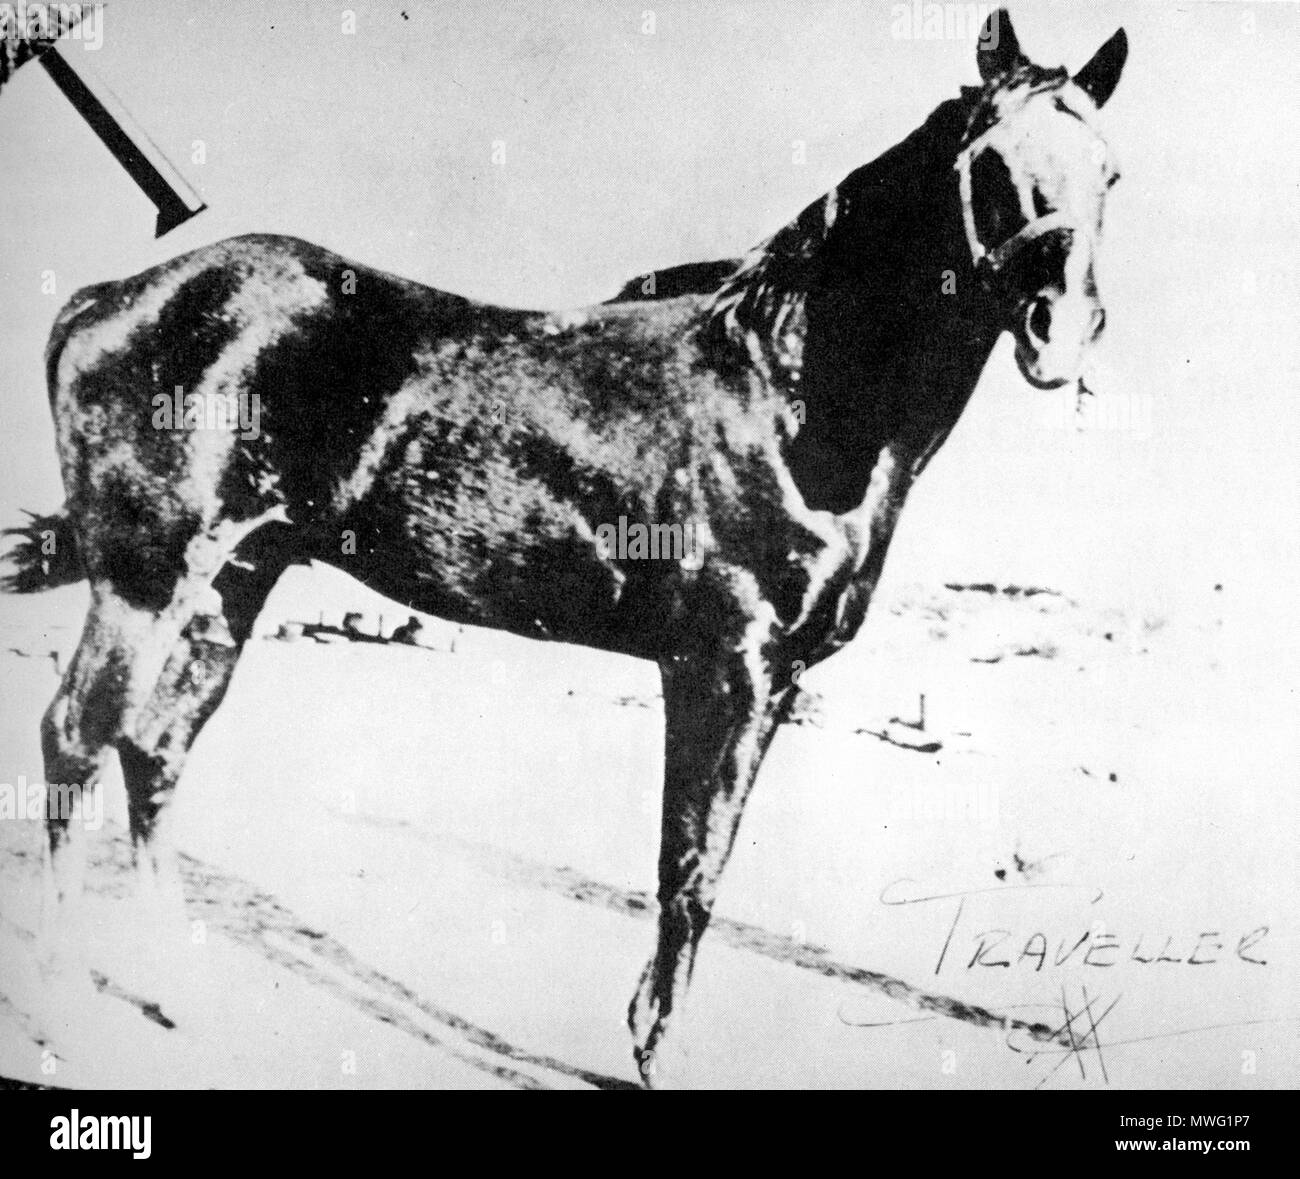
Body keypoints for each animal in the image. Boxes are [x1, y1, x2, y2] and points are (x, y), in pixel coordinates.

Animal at [5, 13, 1123, 1091]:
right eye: (989, 162)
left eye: (1108, 170)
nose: (1059, 330)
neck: (790, 400)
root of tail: (112, 295)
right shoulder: (725, 669)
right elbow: (690, 870)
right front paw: (659, 1053)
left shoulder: (771, 681)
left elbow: (702, 865)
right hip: (144, 581)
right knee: (75, 740)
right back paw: (60, 1002)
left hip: (237, 577)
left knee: (155, 750)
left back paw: (167, 981)